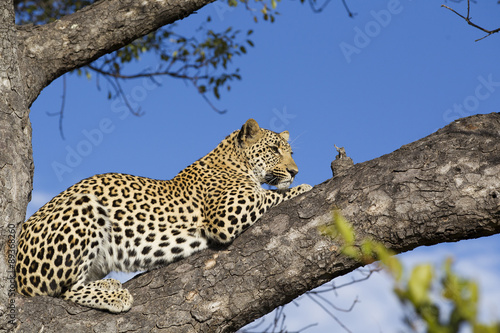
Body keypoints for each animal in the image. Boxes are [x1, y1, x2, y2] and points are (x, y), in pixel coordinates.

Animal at [14, 118, 312, 312]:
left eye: (289, 152)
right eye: (273, 150)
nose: (295, 171)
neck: (236, 162)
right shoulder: (225, 213)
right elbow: (268, 195)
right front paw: (302, 188)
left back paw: (109, 284)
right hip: (84, 207)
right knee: (62, 291)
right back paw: (115, 295)